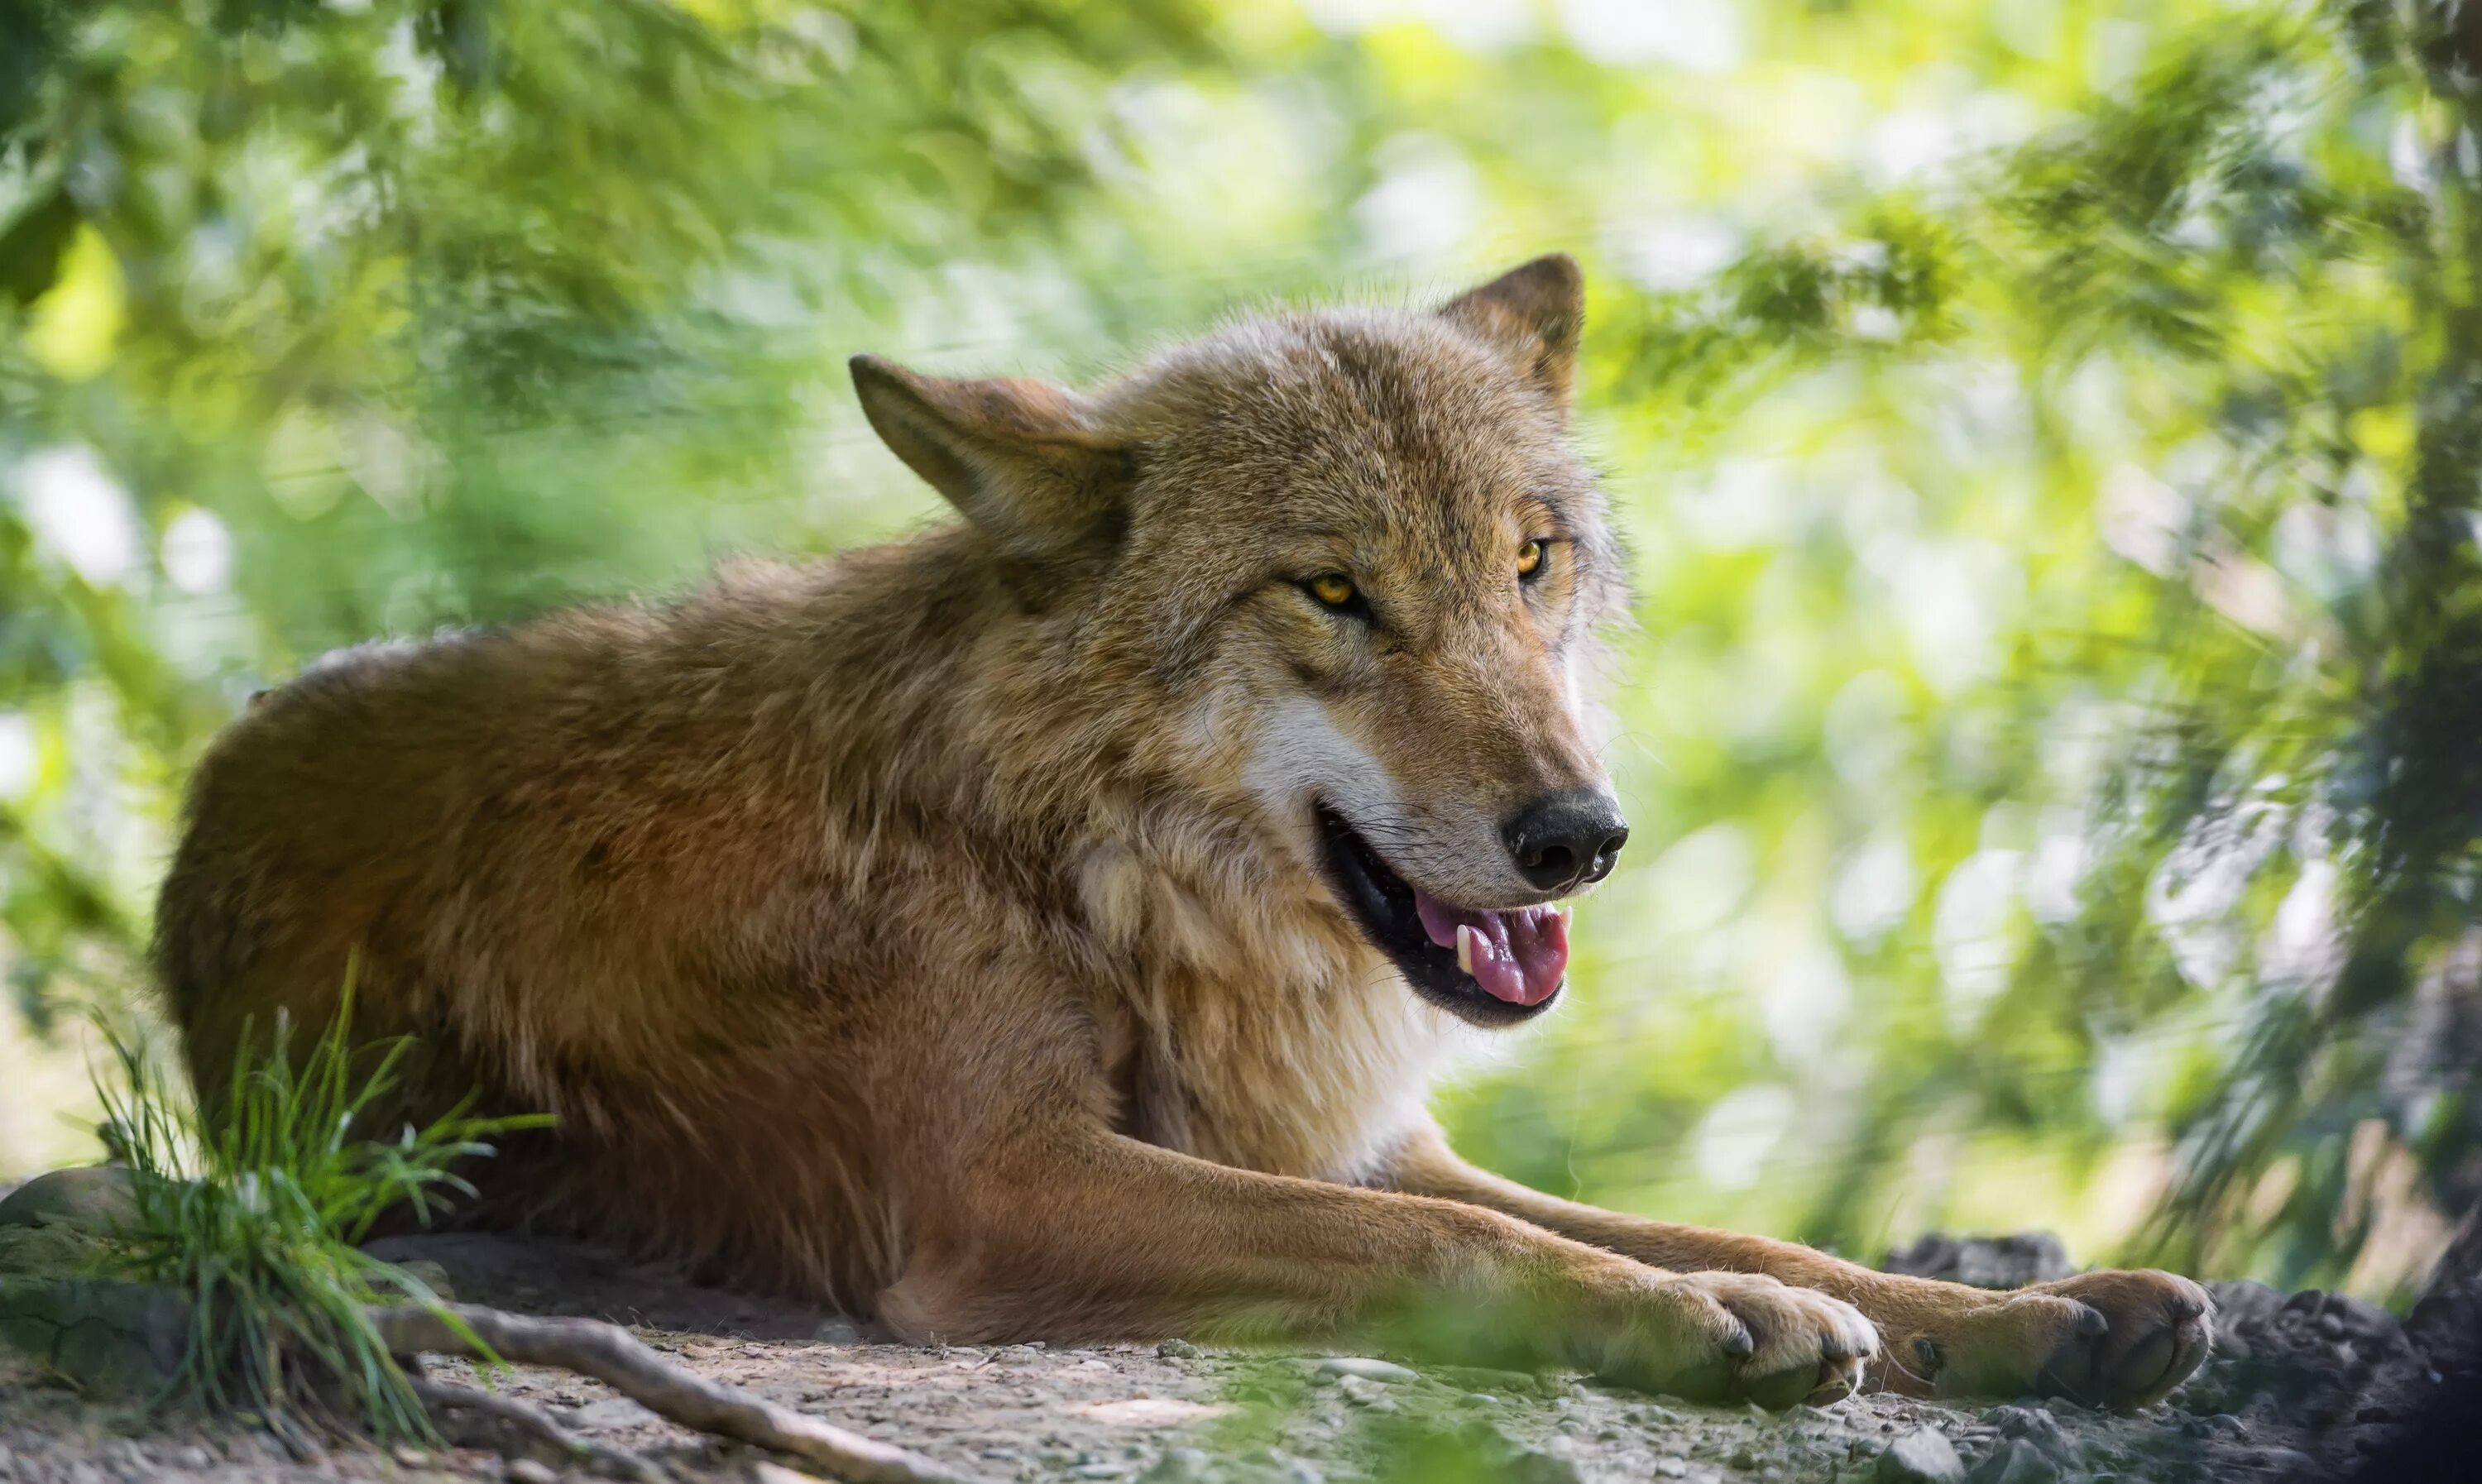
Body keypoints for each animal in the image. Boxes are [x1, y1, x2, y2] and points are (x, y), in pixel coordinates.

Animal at [155, 261, 2214, 1410]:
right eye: (1334, 591)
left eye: (1529, 562)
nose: (1583, 836)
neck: (1077, 865)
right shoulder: (1006, 1188)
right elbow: (1480, 1252)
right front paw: (1714, 1320)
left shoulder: (1363, 1138)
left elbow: (1686, 1217)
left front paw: (2025, 1314)